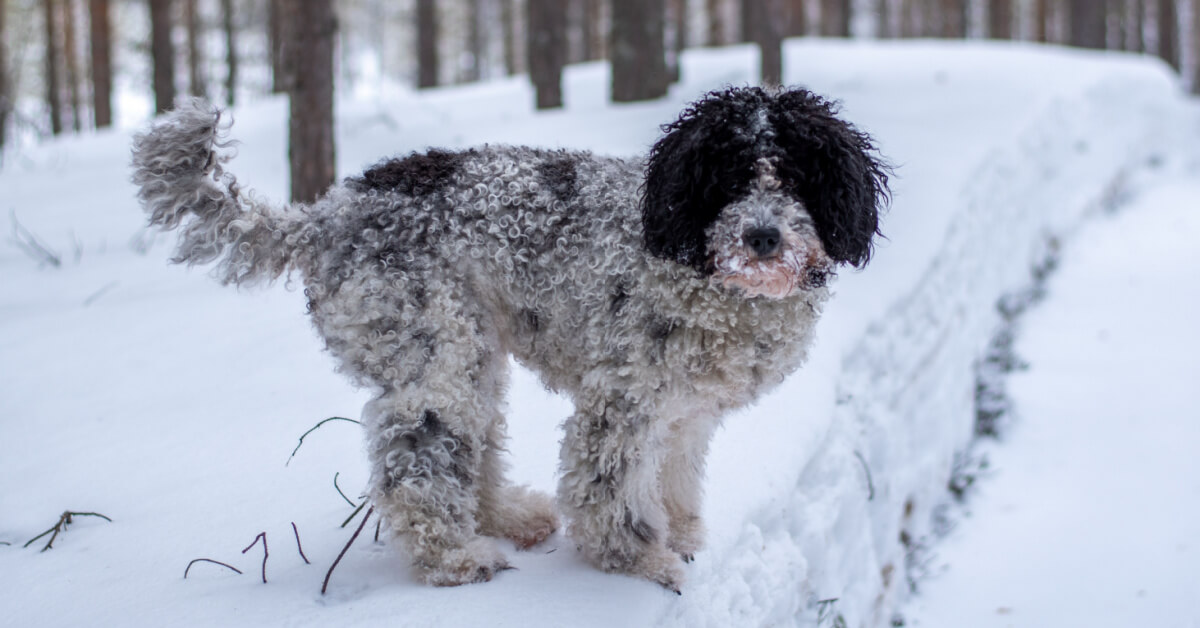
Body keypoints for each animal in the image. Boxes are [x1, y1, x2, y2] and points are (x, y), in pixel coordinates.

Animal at [131, 85, 892, 593]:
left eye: (796, 176)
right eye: (729, 178)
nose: (762, 237)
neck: (696, 261)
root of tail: (323, 216)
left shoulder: (684, 410)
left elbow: (673, 476)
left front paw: (680, 532)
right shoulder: (622, 398)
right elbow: (611, 488)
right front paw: (637, 559)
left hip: (476, 352)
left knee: (475, 449)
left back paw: (508, 519)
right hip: (433, 356)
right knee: (417, 463)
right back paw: (454, 558)